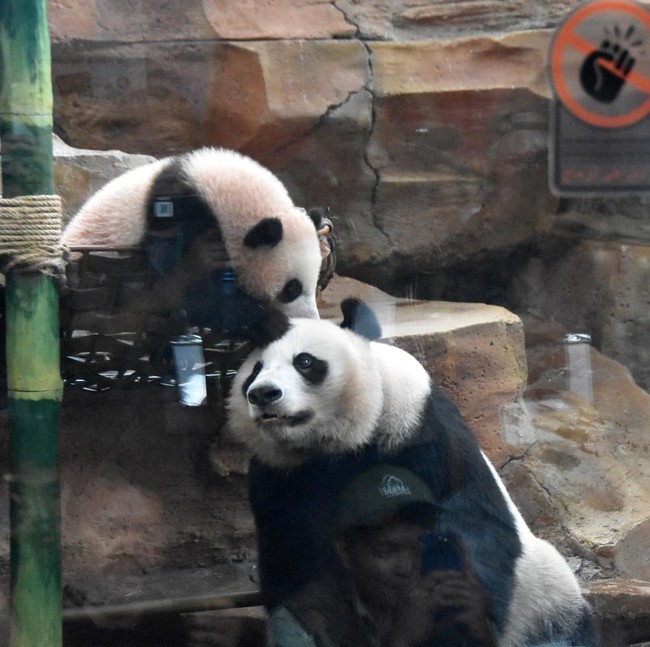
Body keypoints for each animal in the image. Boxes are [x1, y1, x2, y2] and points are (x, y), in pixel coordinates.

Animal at [62, 147, 327, 331]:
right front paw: (272, 322)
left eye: (314, 283)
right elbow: (185, 289)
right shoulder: (177, 213)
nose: (312, 320)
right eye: (292, 289)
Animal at [227, 299, 598, 647]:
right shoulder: (280, 479)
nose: (263, 393)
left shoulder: (421, 437)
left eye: (304, 362)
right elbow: (301, 570)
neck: (334, 447)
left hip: (543, 595)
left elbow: (467, 533)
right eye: (254, 371)